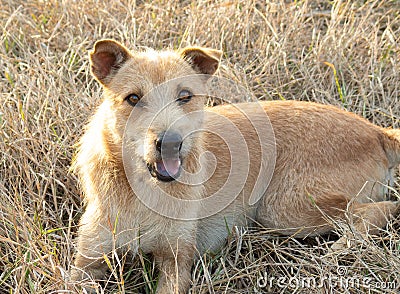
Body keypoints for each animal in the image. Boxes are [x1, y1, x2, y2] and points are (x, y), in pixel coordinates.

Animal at [72, 39, 400, 294]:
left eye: (185, 96)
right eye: (133, 98)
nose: (171, 143)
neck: (143, 190)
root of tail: (376, 132)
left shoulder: (177, 261)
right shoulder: (87, 262)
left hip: (281, 209)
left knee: (381, 209)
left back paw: (338, 251)